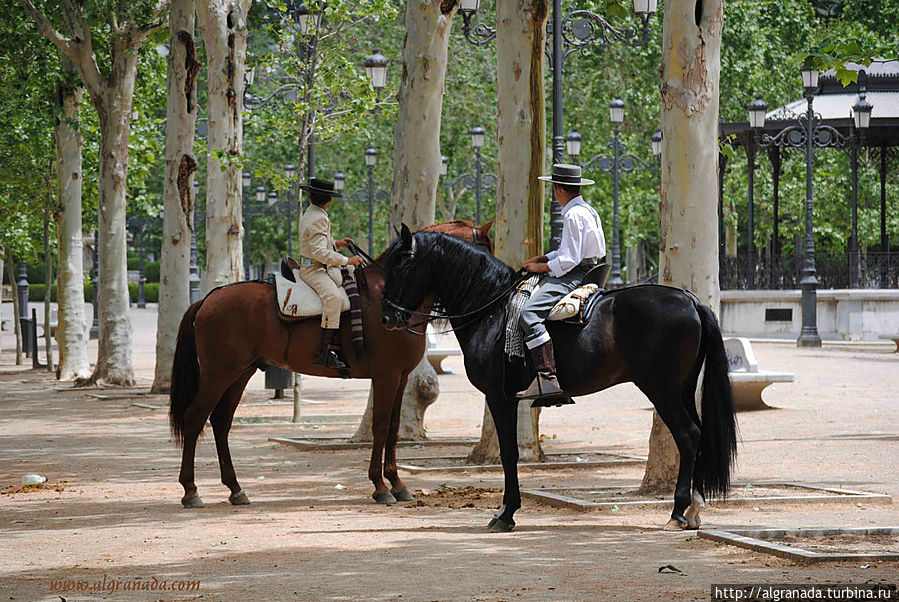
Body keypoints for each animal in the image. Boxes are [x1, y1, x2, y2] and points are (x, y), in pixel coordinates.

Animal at [168, 218, 492, 504]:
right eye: (485, 249)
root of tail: (208, 299)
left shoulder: (401, 378)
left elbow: (394, 427)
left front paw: (397, 483)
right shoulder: (386, 377)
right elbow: (380, 425)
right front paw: (380, 485)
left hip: (240, 374)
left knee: (221, 422)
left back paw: (235, 489)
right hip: (218, 375)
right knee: (195, 418)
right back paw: (191, 490)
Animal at [380, 225, 740, 528]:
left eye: (401, 265)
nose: (386, 317)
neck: (490, 309)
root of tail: (690, 301)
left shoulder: (499, 398)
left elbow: (509, 453)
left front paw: (506, 513)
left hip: (662, 390)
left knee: (689, 435)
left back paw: (679, 511)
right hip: (682, 390)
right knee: (699, 435)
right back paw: (694, 507)